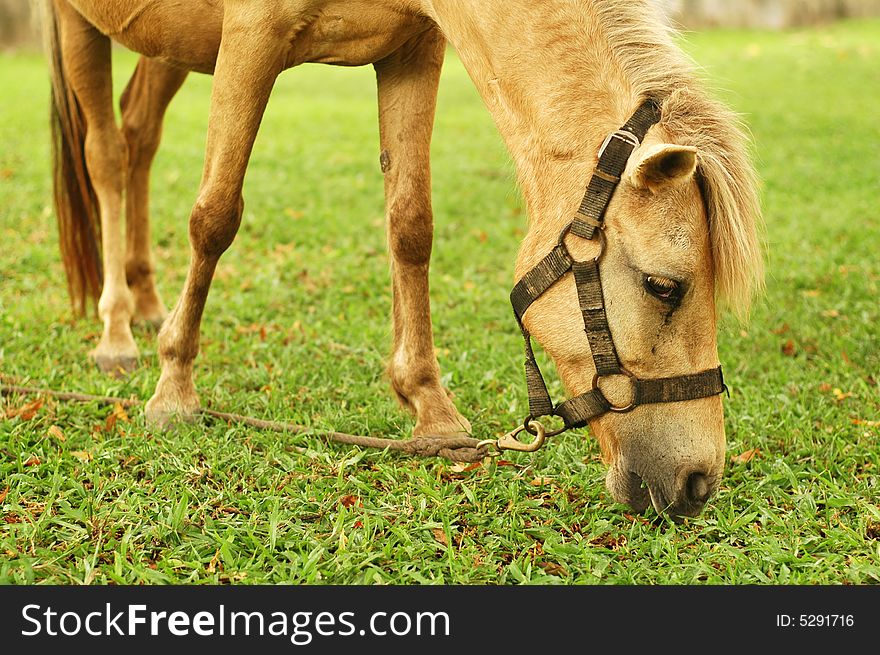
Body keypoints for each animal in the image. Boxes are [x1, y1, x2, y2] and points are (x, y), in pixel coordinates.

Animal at [37, 1, 760, 524]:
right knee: (106, 154)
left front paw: (429, 406)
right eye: (663, 286)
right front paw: (175, 388)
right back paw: (117, 330)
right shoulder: (250, 36)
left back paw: (146, 302)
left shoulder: (412, 49)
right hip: (81, 22)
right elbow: (214, 217)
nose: (698, 482)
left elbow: (411, 224)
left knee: (139, 135)